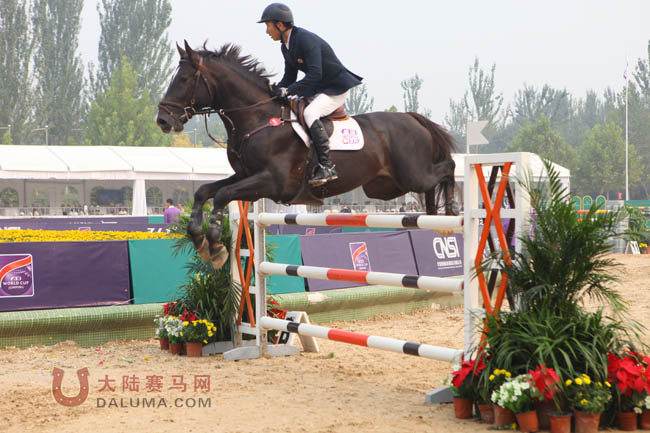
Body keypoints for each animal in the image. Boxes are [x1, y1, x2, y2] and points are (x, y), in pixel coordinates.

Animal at [157, 41, 458, 269]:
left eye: (184, 79)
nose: (162, 120)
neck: (257, 118)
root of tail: (412, 117)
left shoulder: (271, 182)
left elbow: (220, 195)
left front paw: (215, 243)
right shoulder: (245, 176)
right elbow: (204, 191)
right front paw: (199, 239)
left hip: (411, 175)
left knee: (448, 167)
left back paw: (451, 211)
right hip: (385, 188)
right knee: (432, 182)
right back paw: (436, 217)